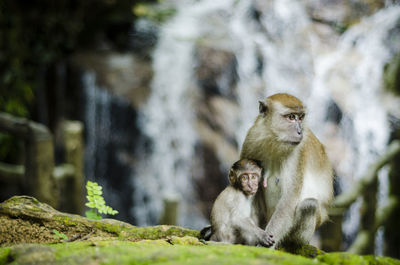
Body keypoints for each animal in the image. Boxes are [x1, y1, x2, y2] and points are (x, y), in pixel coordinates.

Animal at [241, 93, 334, 248]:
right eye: (291, 117)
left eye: (300, 118)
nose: (300, 131)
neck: (274, 142)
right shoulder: (251, 141)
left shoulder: (297, 153)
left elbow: (288, 201)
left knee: (309, 205)